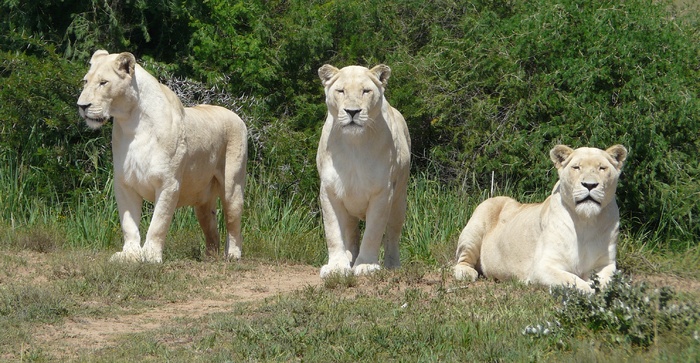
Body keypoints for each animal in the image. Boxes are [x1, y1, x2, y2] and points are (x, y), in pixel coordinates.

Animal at [76, 49, 246, 264]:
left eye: (103, 82)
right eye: (85, 81)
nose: (82, 105)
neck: (132, 124)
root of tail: (236, 116)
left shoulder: (168, 183)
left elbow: (158, 222)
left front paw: (150, 255)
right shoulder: (124, 184)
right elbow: (129, 224)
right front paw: (129, 255)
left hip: (232, 186)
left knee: (233, 222)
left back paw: (233, 254)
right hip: (202, 200)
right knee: (211, 227)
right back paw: (210, 256)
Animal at [316, 63, 410, 278]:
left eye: (366, 91)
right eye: (341, 91)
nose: (352, 112)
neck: (354, 144)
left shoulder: (383, 192)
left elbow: (373, 231)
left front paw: (366, 265)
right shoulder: (329, 191)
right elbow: (333, 231)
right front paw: (337, 267)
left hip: (399, 201)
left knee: (392, 234)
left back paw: (392, 265)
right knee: (351, 233)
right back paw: (349, 258)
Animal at [454, 145, 628, 292]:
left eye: (602, 168)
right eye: (576, 167)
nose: (590, 185)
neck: (586, 221)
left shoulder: (606, 264)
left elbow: (607, 280)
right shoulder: (542, 267)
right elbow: (572, 280)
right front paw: (590, 290)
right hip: (476, 225)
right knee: (461, 260)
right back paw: (466, 273)